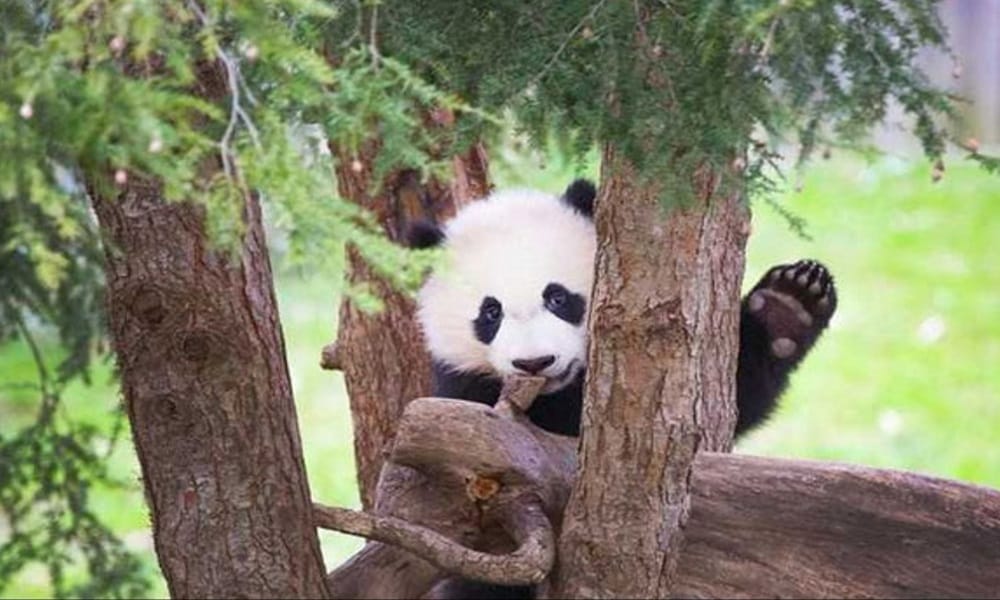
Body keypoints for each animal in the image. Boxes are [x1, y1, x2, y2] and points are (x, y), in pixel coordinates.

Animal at [408, 179, 837, 599]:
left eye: (558, 297)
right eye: (491, 312)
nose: (535, 363)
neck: (556, 393)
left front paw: (789, 304)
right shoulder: (468, 398)